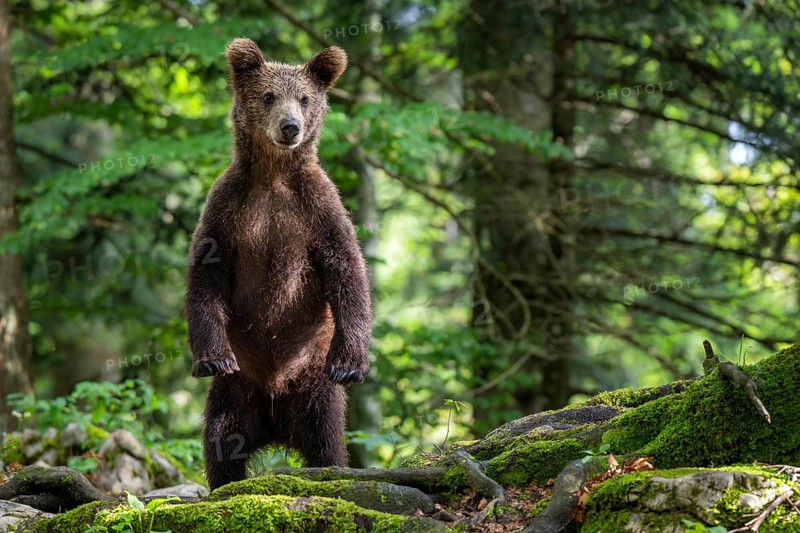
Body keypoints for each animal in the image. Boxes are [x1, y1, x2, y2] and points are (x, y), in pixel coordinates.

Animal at [185, 38, 372, 491]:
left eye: (304, 99)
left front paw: (352, 363)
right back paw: (225, 482)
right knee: (221, 437)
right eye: (269, 96)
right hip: (236, 390)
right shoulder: (228, 209)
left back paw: (328, 466)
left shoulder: (317, 208)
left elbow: (347, 268)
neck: (273, 176)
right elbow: (206, 276)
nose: (290, 127)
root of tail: (274, 420)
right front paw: (211, 357)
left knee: (325, 434)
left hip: (312, 381)